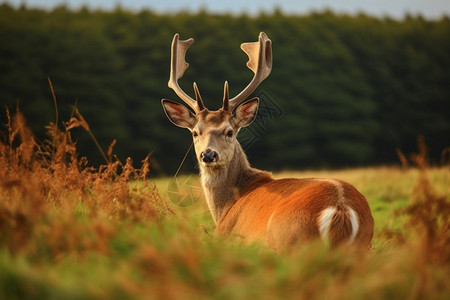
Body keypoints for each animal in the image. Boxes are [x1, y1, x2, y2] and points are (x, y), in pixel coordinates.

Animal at [161, 32, 372, 251]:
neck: (226, 208)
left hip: (287, 238)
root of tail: (341, 210)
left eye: (229, 132)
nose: (208, 154)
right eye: (195, 133)